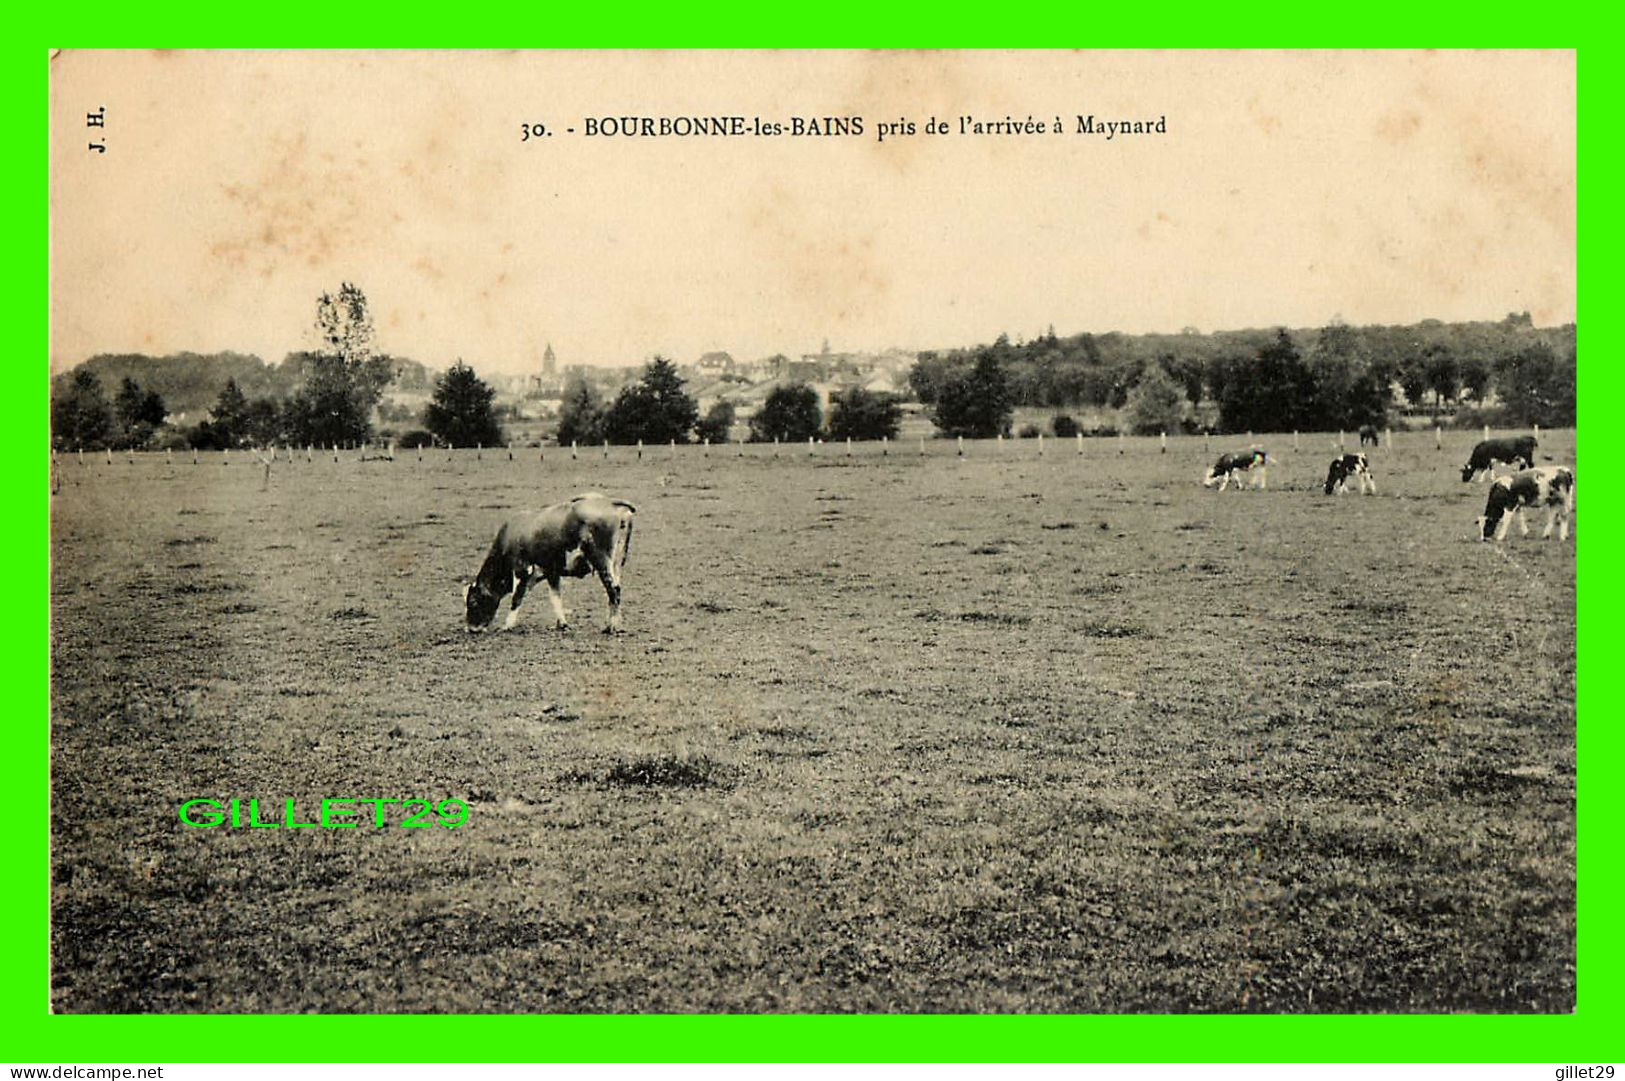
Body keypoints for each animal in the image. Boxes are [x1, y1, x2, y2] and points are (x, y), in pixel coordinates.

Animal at [464, 490, 633, 633]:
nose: (470, 629)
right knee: (617, 590)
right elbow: (555, 597)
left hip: (601, 560)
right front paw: (562, 624)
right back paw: (617, 625)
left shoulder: (523, 570)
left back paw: (610, 627)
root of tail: (608, 501)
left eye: (473, 601)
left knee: (613, 590)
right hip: (615, 564)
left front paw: (507, 626)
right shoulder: (551, 572)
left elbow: (517, 598)